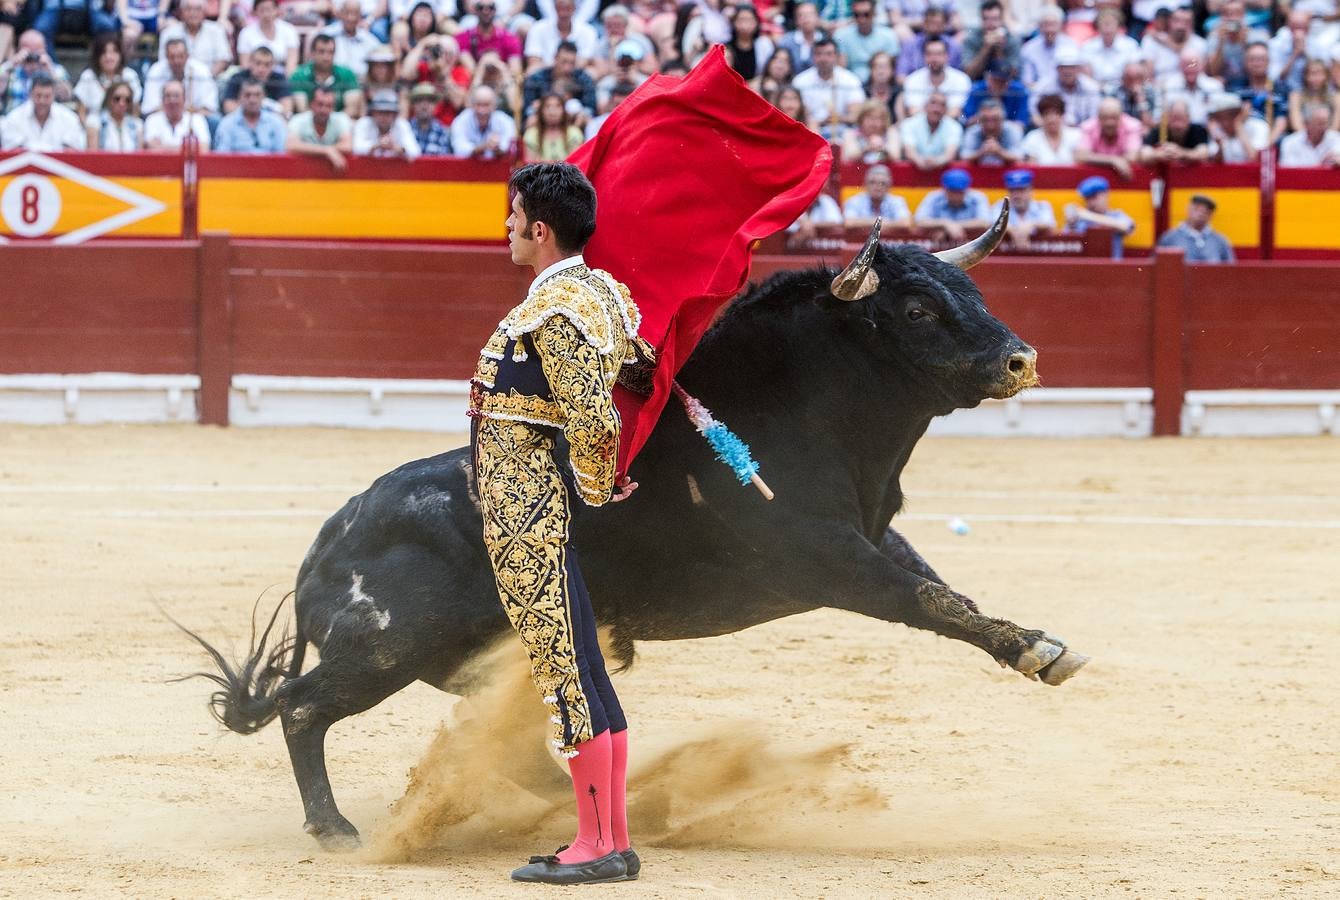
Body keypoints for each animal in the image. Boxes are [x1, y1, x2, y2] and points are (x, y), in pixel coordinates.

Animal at [178, 211, 1088, 851]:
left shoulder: (872, 537)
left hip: (471, 661)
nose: (1021, 361)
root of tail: (329, 543)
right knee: (303, 709)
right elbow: (926, 600)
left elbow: (945, 590)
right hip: (388, 647)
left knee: (521, 753)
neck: (795, 414)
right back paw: (336, 830)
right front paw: (1039, 649)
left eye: (975, 295)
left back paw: (642, 803)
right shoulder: (828, 562)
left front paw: (1037, 647)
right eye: (917, 307)